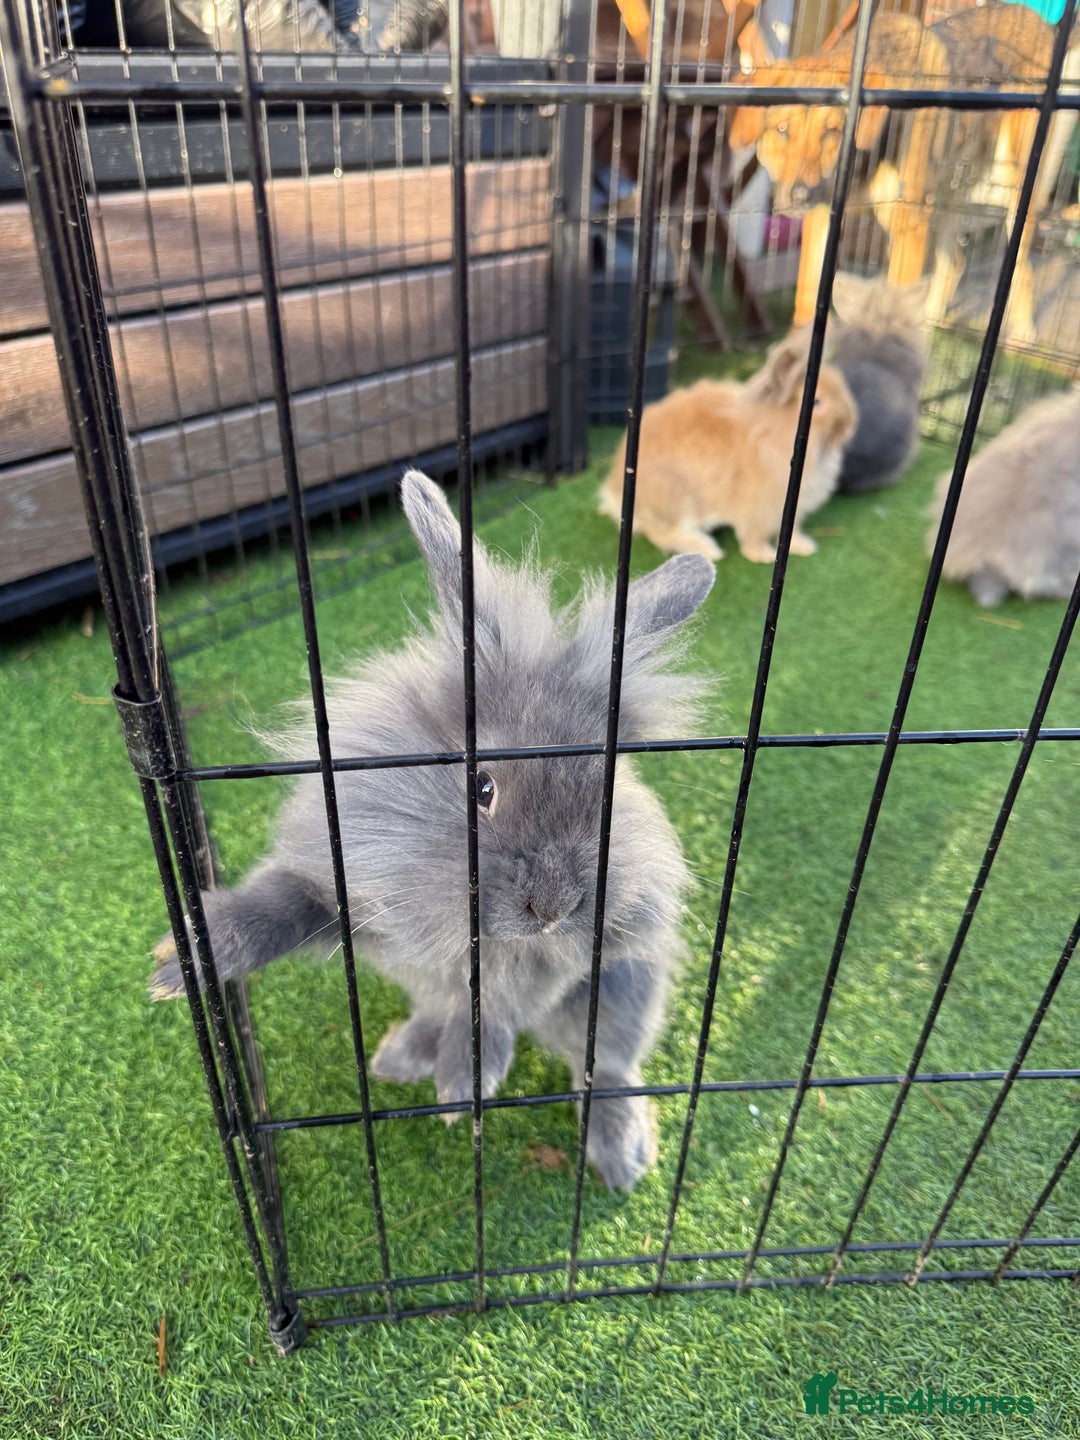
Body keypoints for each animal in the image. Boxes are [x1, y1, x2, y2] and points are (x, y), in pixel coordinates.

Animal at [151, 470, 716, 1191]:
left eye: (609, 790)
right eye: (483, 789)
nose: (553, 908)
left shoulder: (552, 965)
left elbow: (495, 1004)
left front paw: (463, 1083)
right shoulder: (341, 881)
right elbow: (275, 906)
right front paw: (183, 963)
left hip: (625, 990)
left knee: (607, 1065)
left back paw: (621, 1155)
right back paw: (399, 1056)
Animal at [598, 336, 857, 564]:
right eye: (817, 403)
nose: (849, 423)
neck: (773, 431)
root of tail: (614, 488)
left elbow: (788, 535)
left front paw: (804, 546)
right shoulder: (759, 510)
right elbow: (753, 537)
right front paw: (762, 556)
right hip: (676, 499)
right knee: (662, 533)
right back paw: (706, 548)